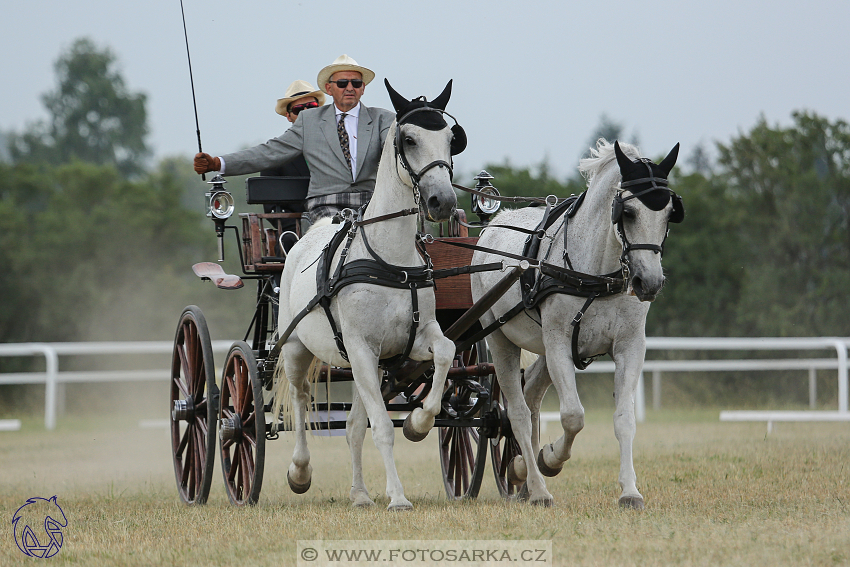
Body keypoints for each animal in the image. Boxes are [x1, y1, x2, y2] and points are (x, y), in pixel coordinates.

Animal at [274, 80, 460, 510]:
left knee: (353, 425)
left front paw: (418, 422)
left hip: (367, 365)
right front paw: (398, 497)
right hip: (296, 347)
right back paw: (299, 472)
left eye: (450, 138)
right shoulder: (360, 347)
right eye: (409, 139)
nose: (443, 201)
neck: (390, 260)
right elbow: (382, 428)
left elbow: (446, 352)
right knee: (300, 400)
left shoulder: (409, 340)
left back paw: (359, 494)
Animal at [468, 140, 680, 508]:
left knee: (530, 396)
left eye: (669, 213)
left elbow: (624, 419)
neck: (594, 274)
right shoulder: (558, 344)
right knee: (517, 413)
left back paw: (523, 473)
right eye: (628, 212)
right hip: (500, 341)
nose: (649, 283)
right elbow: (573, 416)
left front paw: (630, 491)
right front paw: (550, 458)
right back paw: (538, 488)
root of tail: (494, 224)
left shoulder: (630, 347)